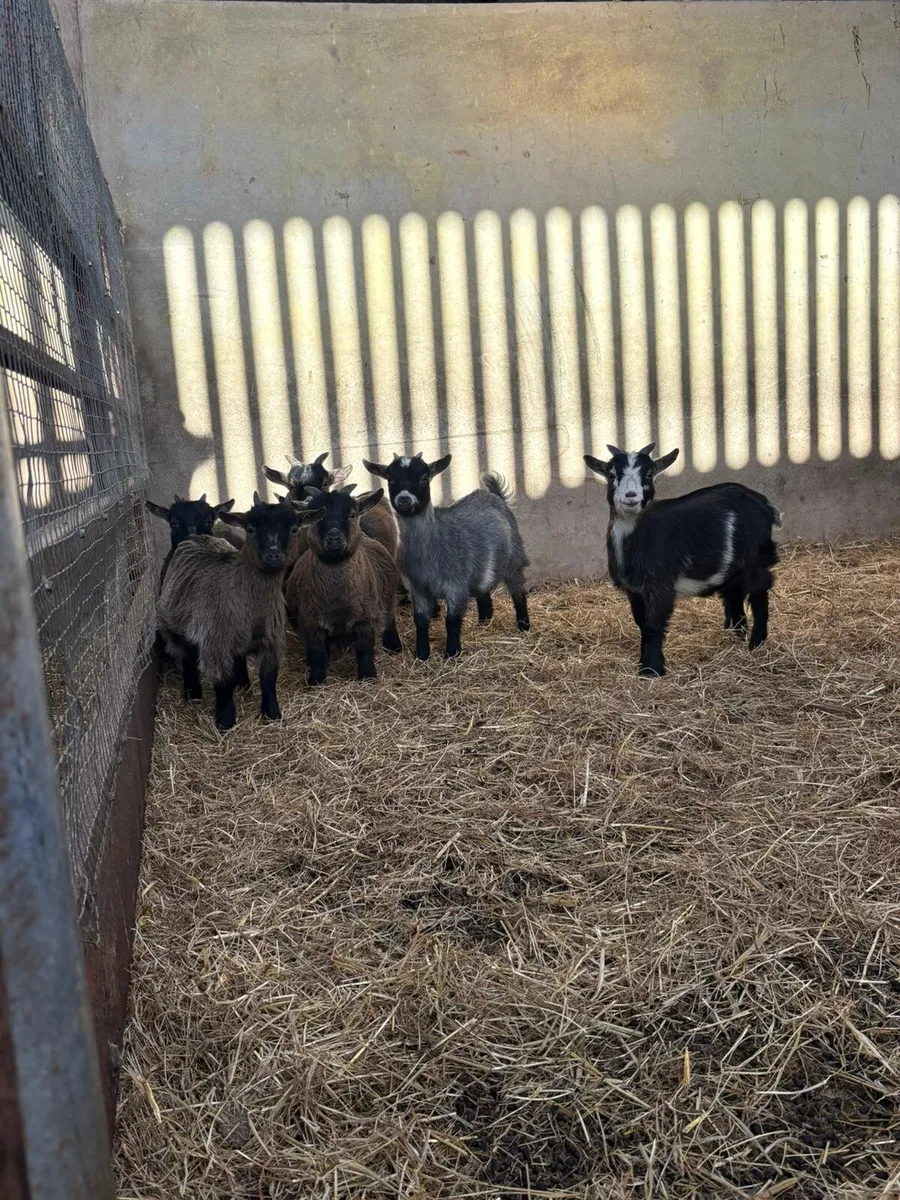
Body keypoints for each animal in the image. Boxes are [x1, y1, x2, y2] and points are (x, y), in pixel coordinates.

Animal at [157, 493, 300, 728]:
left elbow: (269, 679)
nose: (274, 555)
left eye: (294, 528)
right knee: (186, 657)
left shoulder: (271, 640)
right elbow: (223, 683)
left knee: (238, 657)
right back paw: (193, 693)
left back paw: (243, 684)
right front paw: (225, 721)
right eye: (250, 528)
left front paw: (272, 714)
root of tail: (195, 538)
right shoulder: (216, 641)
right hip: (173, 625)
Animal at [285, 486, 402, 684]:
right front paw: (316, 681)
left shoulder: (366, 619)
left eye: (352, 514)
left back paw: (393, 646)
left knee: (390, 617)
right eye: (316, 517)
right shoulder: (311, 624)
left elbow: (364, 652)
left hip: (389, 597)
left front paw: (368, 677)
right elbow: (317, 655)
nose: (334, 538)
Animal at [362, 452, 530, 661]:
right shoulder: (420, 588)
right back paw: (484, 621)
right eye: (390, 478)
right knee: (483, 590)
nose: (404, 500)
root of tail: (495, 496)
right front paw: (422, 655)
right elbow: (420, 621)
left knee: (518, 590)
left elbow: (452, 621)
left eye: (424, 477)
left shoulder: (456, 586)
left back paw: (523, 626)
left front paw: (452, 653)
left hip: (513, 558)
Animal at [584, 443, 781, 677]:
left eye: (649, 474)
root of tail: (765, 504)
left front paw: (651, 670)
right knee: (733, 592)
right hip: (732, 565)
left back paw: (756, 643)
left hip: (756, 557)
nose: (631, 495)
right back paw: (735, 635)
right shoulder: (634, 590)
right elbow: (641, 624)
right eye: (612, 475)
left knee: (759, 591)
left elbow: (653, 625)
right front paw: (645, 663)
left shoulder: (661, 585)